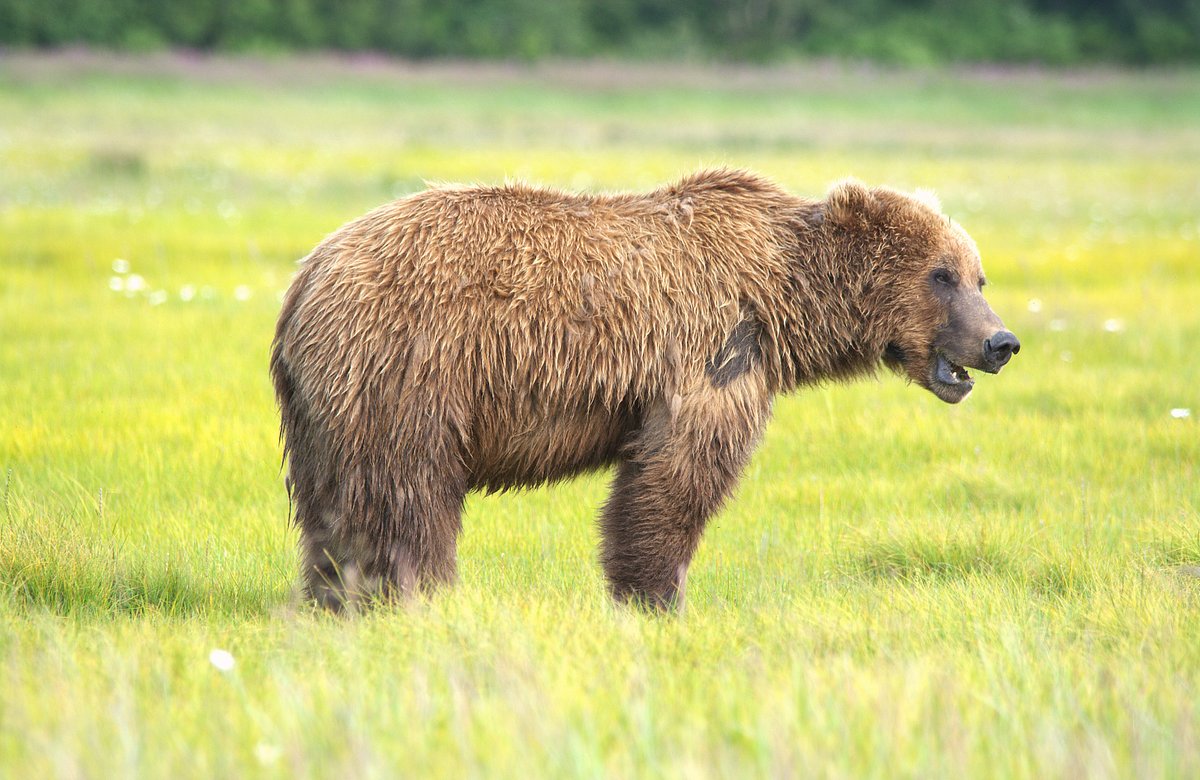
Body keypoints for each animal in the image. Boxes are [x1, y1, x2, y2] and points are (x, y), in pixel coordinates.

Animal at [270, 168, 1019, 611]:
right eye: (942, 274)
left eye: (978, 275)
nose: (1000, 342)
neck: (782, 299)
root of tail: (306, 276)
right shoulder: (712, 350)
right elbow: (676, 477)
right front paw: (655, 594)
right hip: (408, 368)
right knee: (407, 490)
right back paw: (418, 593)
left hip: (325, 406)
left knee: (332, 506)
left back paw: (332, 597)